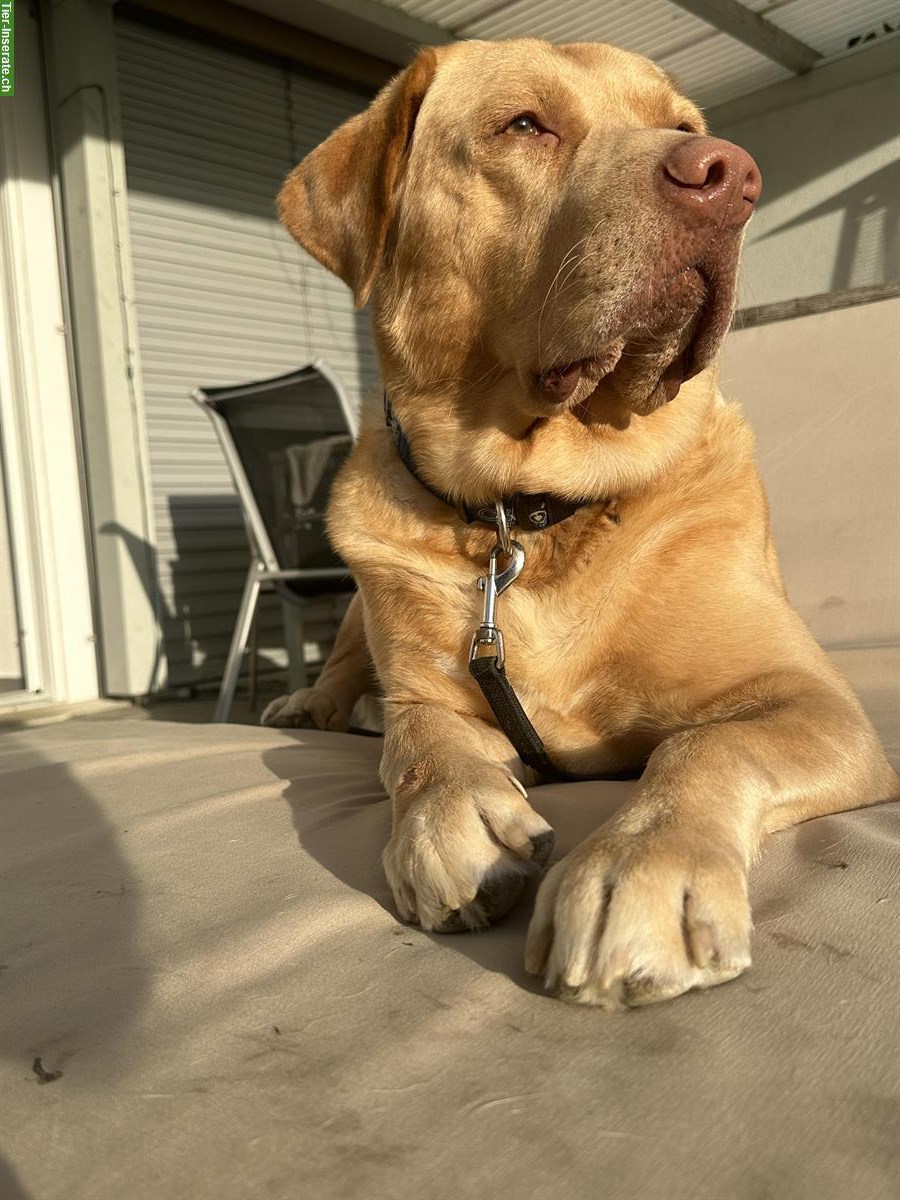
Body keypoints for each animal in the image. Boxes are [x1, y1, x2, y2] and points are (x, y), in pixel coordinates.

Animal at [264, 37, 897, 1008]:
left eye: (684, 125)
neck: (527, 511)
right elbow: (417, 738)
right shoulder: (426, 691)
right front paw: (451, 811)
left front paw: (642, 862)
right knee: (344, 663)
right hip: (356, 609)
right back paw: (315, 701)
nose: (730, 176)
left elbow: (709, 745)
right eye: (526, 124)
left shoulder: (814, 701)